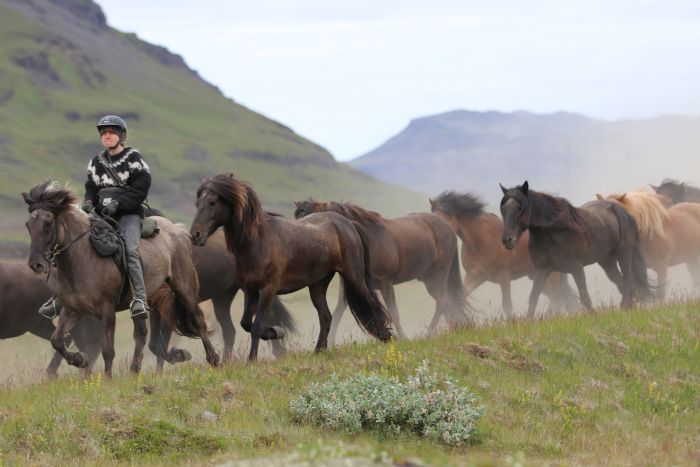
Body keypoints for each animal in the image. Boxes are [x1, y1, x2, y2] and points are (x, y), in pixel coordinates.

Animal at [22, 181, 219, 378]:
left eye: (48, 223)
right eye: (28, 225)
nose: (36, 264)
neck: (83, 259)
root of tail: (178, 230)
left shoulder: (107, 310)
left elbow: (108, 349)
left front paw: (108, 379)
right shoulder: (72, 309)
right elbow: (56, 340)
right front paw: (79, 359)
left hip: (183, 286)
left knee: (197, 319)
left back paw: (213, 358)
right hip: (145, 300)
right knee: (142, 334)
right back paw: (135, 370)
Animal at [189, 174, 394, 360]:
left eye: (213, 202)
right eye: (197, 203)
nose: (195, 235)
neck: (258, 241)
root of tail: (347, 223)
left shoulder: (268, 290)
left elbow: (256, 325)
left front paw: (253, 358)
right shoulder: (250, 291)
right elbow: (246, 323)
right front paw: (274, 332)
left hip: (353, 276)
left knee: (371, 303)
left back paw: (387, 337)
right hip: (317, 285)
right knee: (326, 316)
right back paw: (319, 350)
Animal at [292, 198, 468, 340]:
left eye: (312, 220)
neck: (367, 240)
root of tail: (448, 227)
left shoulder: (386, 284)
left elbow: (394, 313)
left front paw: (402, 338)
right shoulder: (349, 289)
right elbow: (336, 315)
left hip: (436, 278)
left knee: (443, 302)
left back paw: (430, 333)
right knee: (447, 303)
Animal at [430, 190, 576, 318]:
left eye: (445, 218)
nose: (437, 239)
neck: (482, 240)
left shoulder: (504, 277)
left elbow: (507, 306)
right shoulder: (475, 276)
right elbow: (456, 299)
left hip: (551, 276)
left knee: (558, 299)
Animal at [498, 180, 652, 318]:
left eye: (520, 207)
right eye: (503, 209)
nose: (507, 240)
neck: (554, 232)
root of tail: (625, 213)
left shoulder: (576, 268)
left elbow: (584, 297)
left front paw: (594, 316)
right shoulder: (541, 270)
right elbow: (533, 298)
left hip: (624, 255)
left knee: (628, 280)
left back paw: (626, 305)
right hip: (607, 261)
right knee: (621, 282)